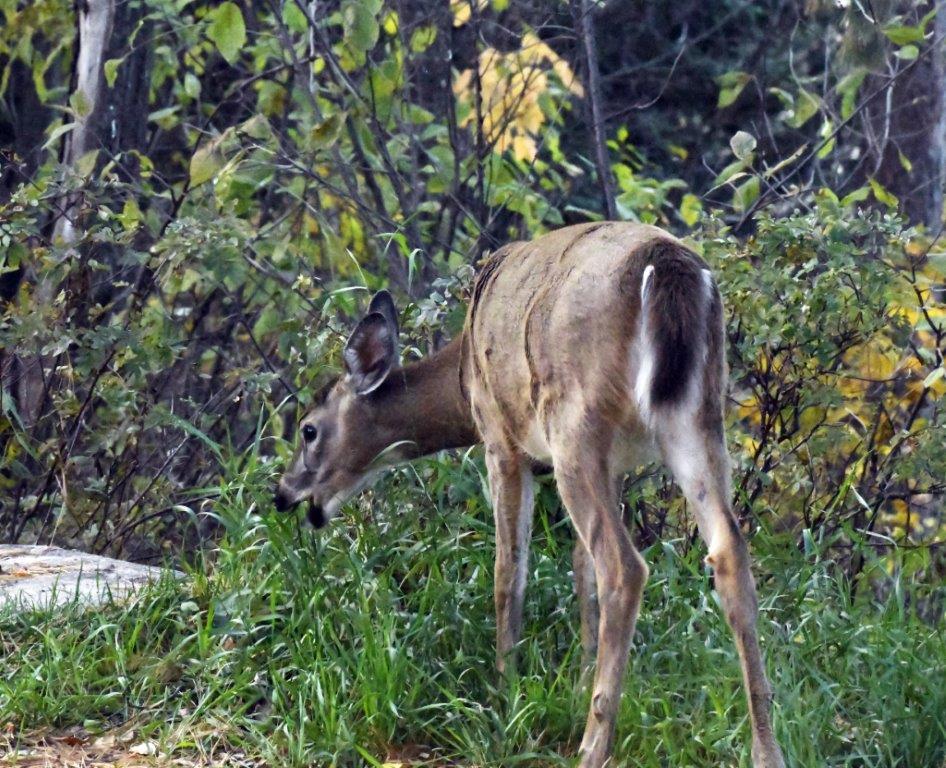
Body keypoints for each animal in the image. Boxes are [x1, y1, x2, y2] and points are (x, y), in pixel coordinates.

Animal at [274, 221, 786, 768]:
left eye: (308, 430)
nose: (283, 493)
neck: (462, 375)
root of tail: (667, 266)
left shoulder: (501, 439)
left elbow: (509, 569)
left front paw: (505, 688)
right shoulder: (616, 463)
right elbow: (579, 569)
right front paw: (577, 680)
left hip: (574, 423)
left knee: (623, 566)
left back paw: (592, 746)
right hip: (697, 416)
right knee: (728, 551)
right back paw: (765, 750)